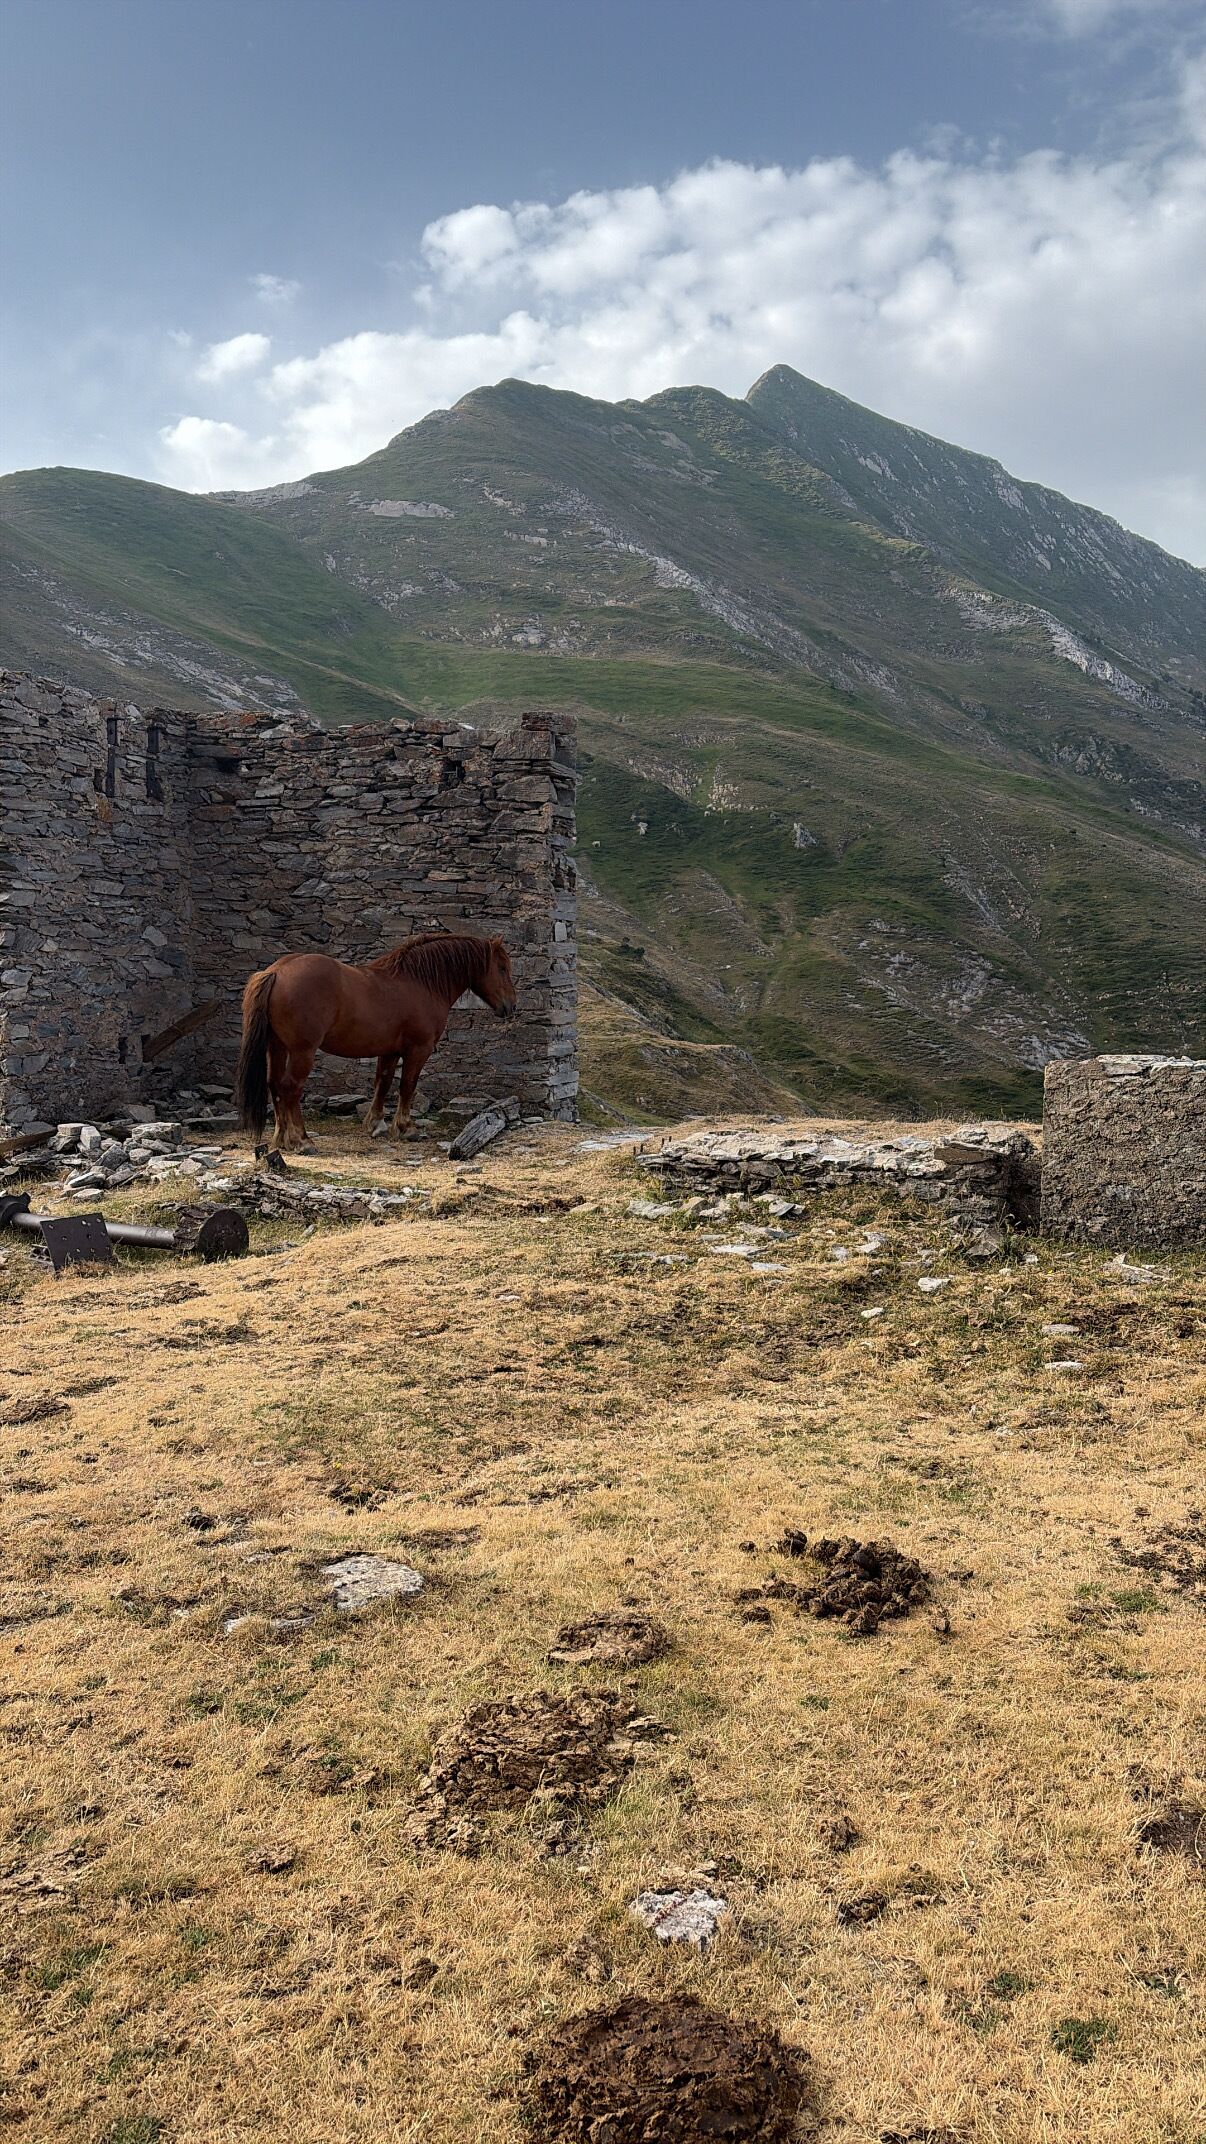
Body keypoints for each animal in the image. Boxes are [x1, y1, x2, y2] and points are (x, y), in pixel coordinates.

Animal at [233, 932, 517, 1151]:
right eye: (502, 967)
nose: (511, 1006)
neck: (419, 983)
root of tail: (276, 972)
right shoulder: (418, 1049)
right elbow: (407, 1085)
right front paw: (405, 1128)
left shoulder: (389, 1050)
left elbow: (384, 1082)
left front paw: (376, 1124)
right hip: (302, 1051)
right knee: (291, 1088)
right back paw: (302, 1140)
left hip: (277, 1047)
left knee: (274, 1085)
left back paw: (281, 1139)